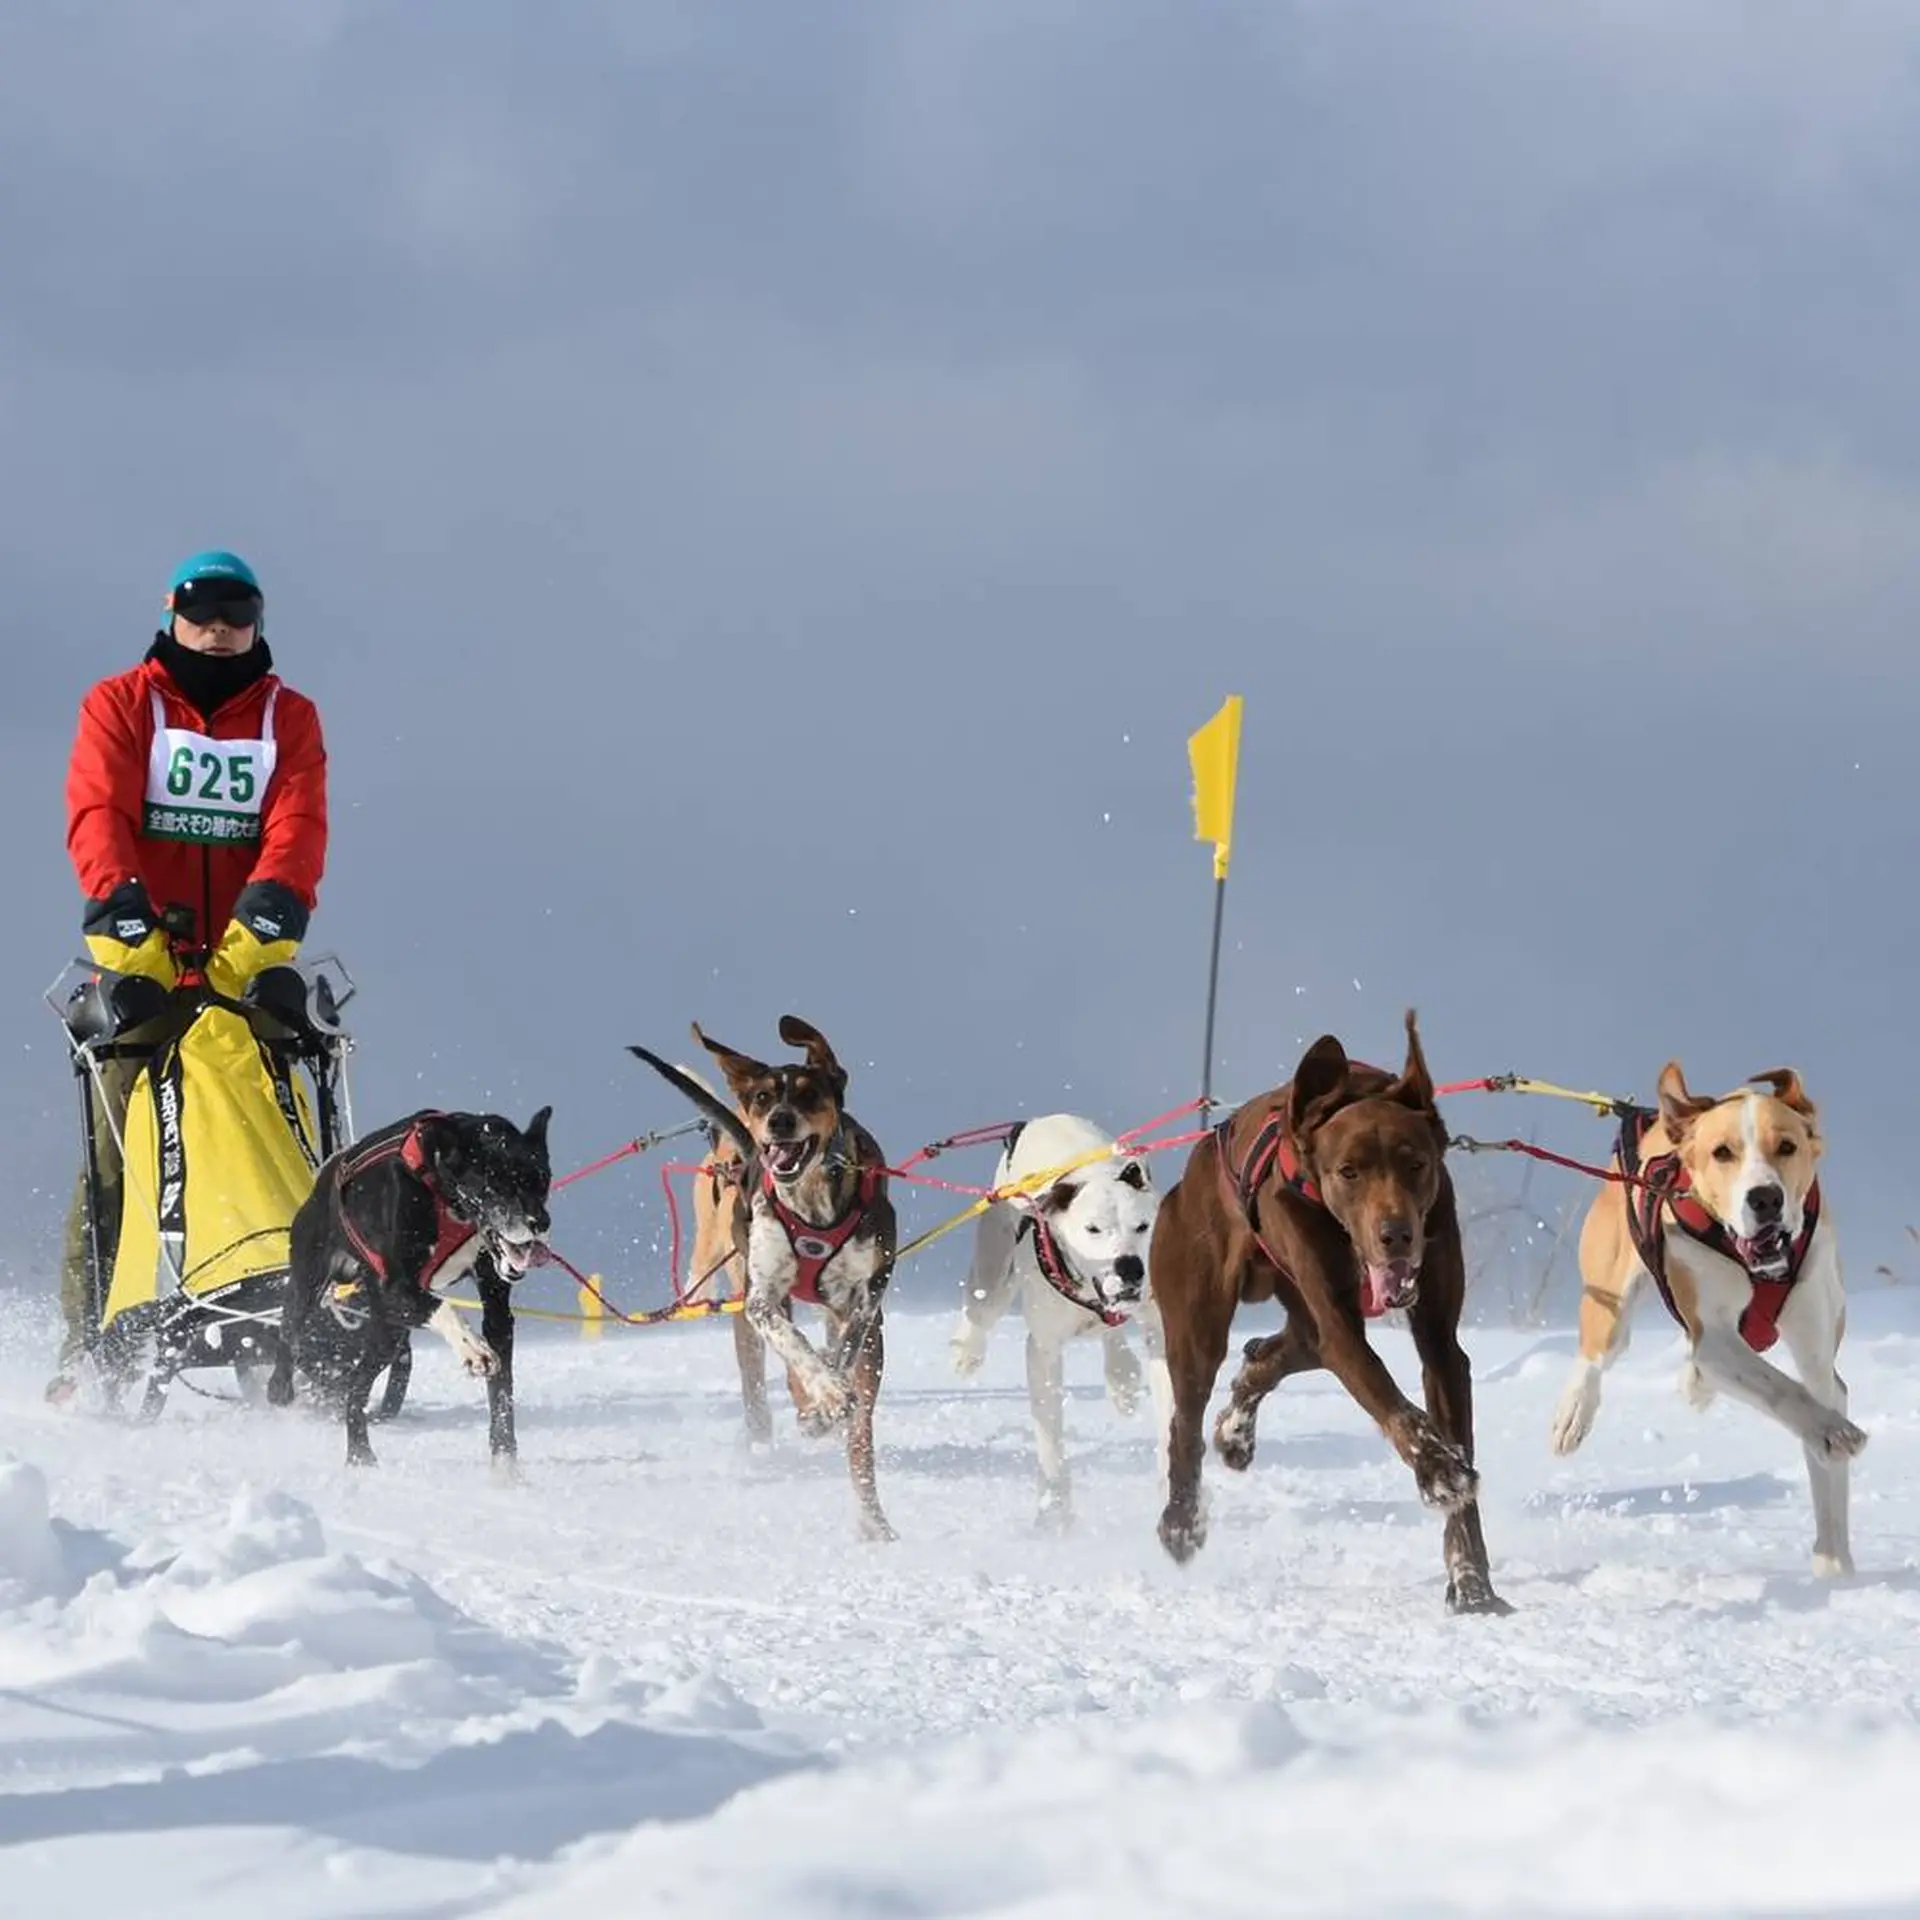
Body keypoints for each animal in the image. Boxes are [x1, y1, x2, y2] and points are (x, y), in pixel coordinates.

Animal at [948, 1113, 1167, 1528]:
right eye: (1093, 1229)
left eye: (1143, 1226)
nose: (1130, 1267)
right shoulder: (1043, 1350)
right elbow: (1050, 1439)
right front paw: (1055, 1509)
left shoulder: (1160, 1331)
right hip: (995, 1272)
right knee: (980, 1308)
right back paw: (966, 1351)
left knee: (1111, 1336)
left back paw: (1122, 1377)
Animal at [1551, 1067, 1866, 1574]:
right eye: (1722, 1152)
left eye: (1787, 1146)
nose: (1765, 1198)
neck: (1758, 1266)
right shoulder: (1713, 1339)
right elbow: (1783, 1389)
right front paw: (1832, 1431)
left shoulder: (1817, 1352)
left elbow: (1818, 1417)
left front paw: (1835, 1569)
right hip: (1610, 1294)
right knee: (1597, 1353)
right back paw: (1573, 1412)